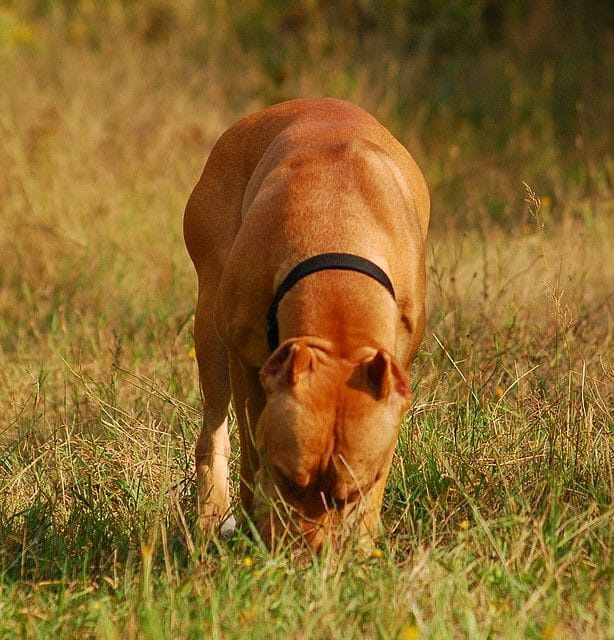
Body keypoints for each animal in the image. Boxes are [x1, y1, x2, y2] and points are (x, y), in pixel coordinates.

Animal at [185, 96, 430, 552]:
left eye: (350, 493)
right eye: (288, 479)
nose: (309, 557)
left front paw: (363, 545)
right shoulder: (247, 367)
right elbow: (252, 455)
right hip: (209, 330)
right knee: (213, 432)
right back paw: (212, 517)